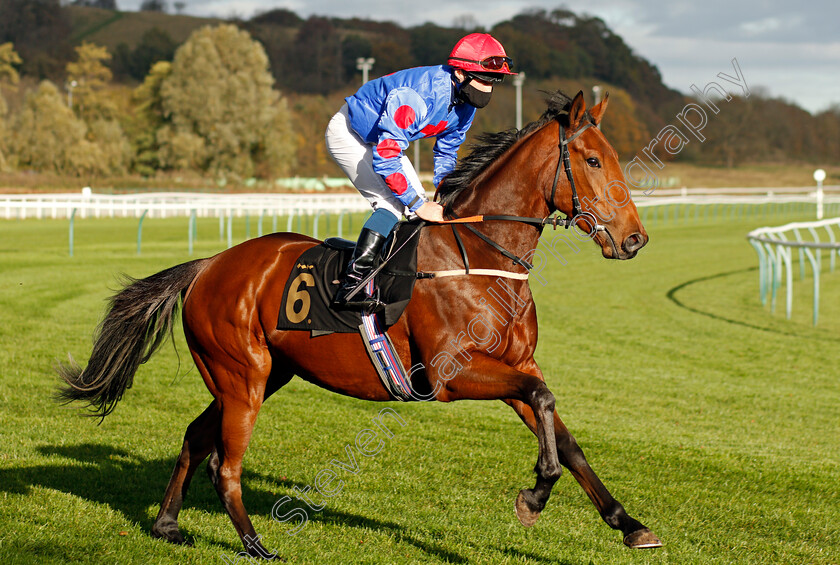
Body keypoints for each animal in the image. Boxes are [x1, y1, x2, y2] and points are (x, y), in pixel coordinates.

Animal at [57, 90, 664, 552]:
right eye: (593, 161)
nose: (635, 238)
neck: (478, 256)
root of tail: (209, 264)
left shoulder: (516, 365)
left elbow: (562, 430)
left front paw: (629, 524)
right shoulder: (452, 376)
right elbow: (543, 403)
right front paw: (534, 496)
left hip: (260, 374)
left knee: (195, 436)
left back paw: (166, 524)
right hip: (242, 377)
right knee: (226, 466)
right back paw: (256, 545)